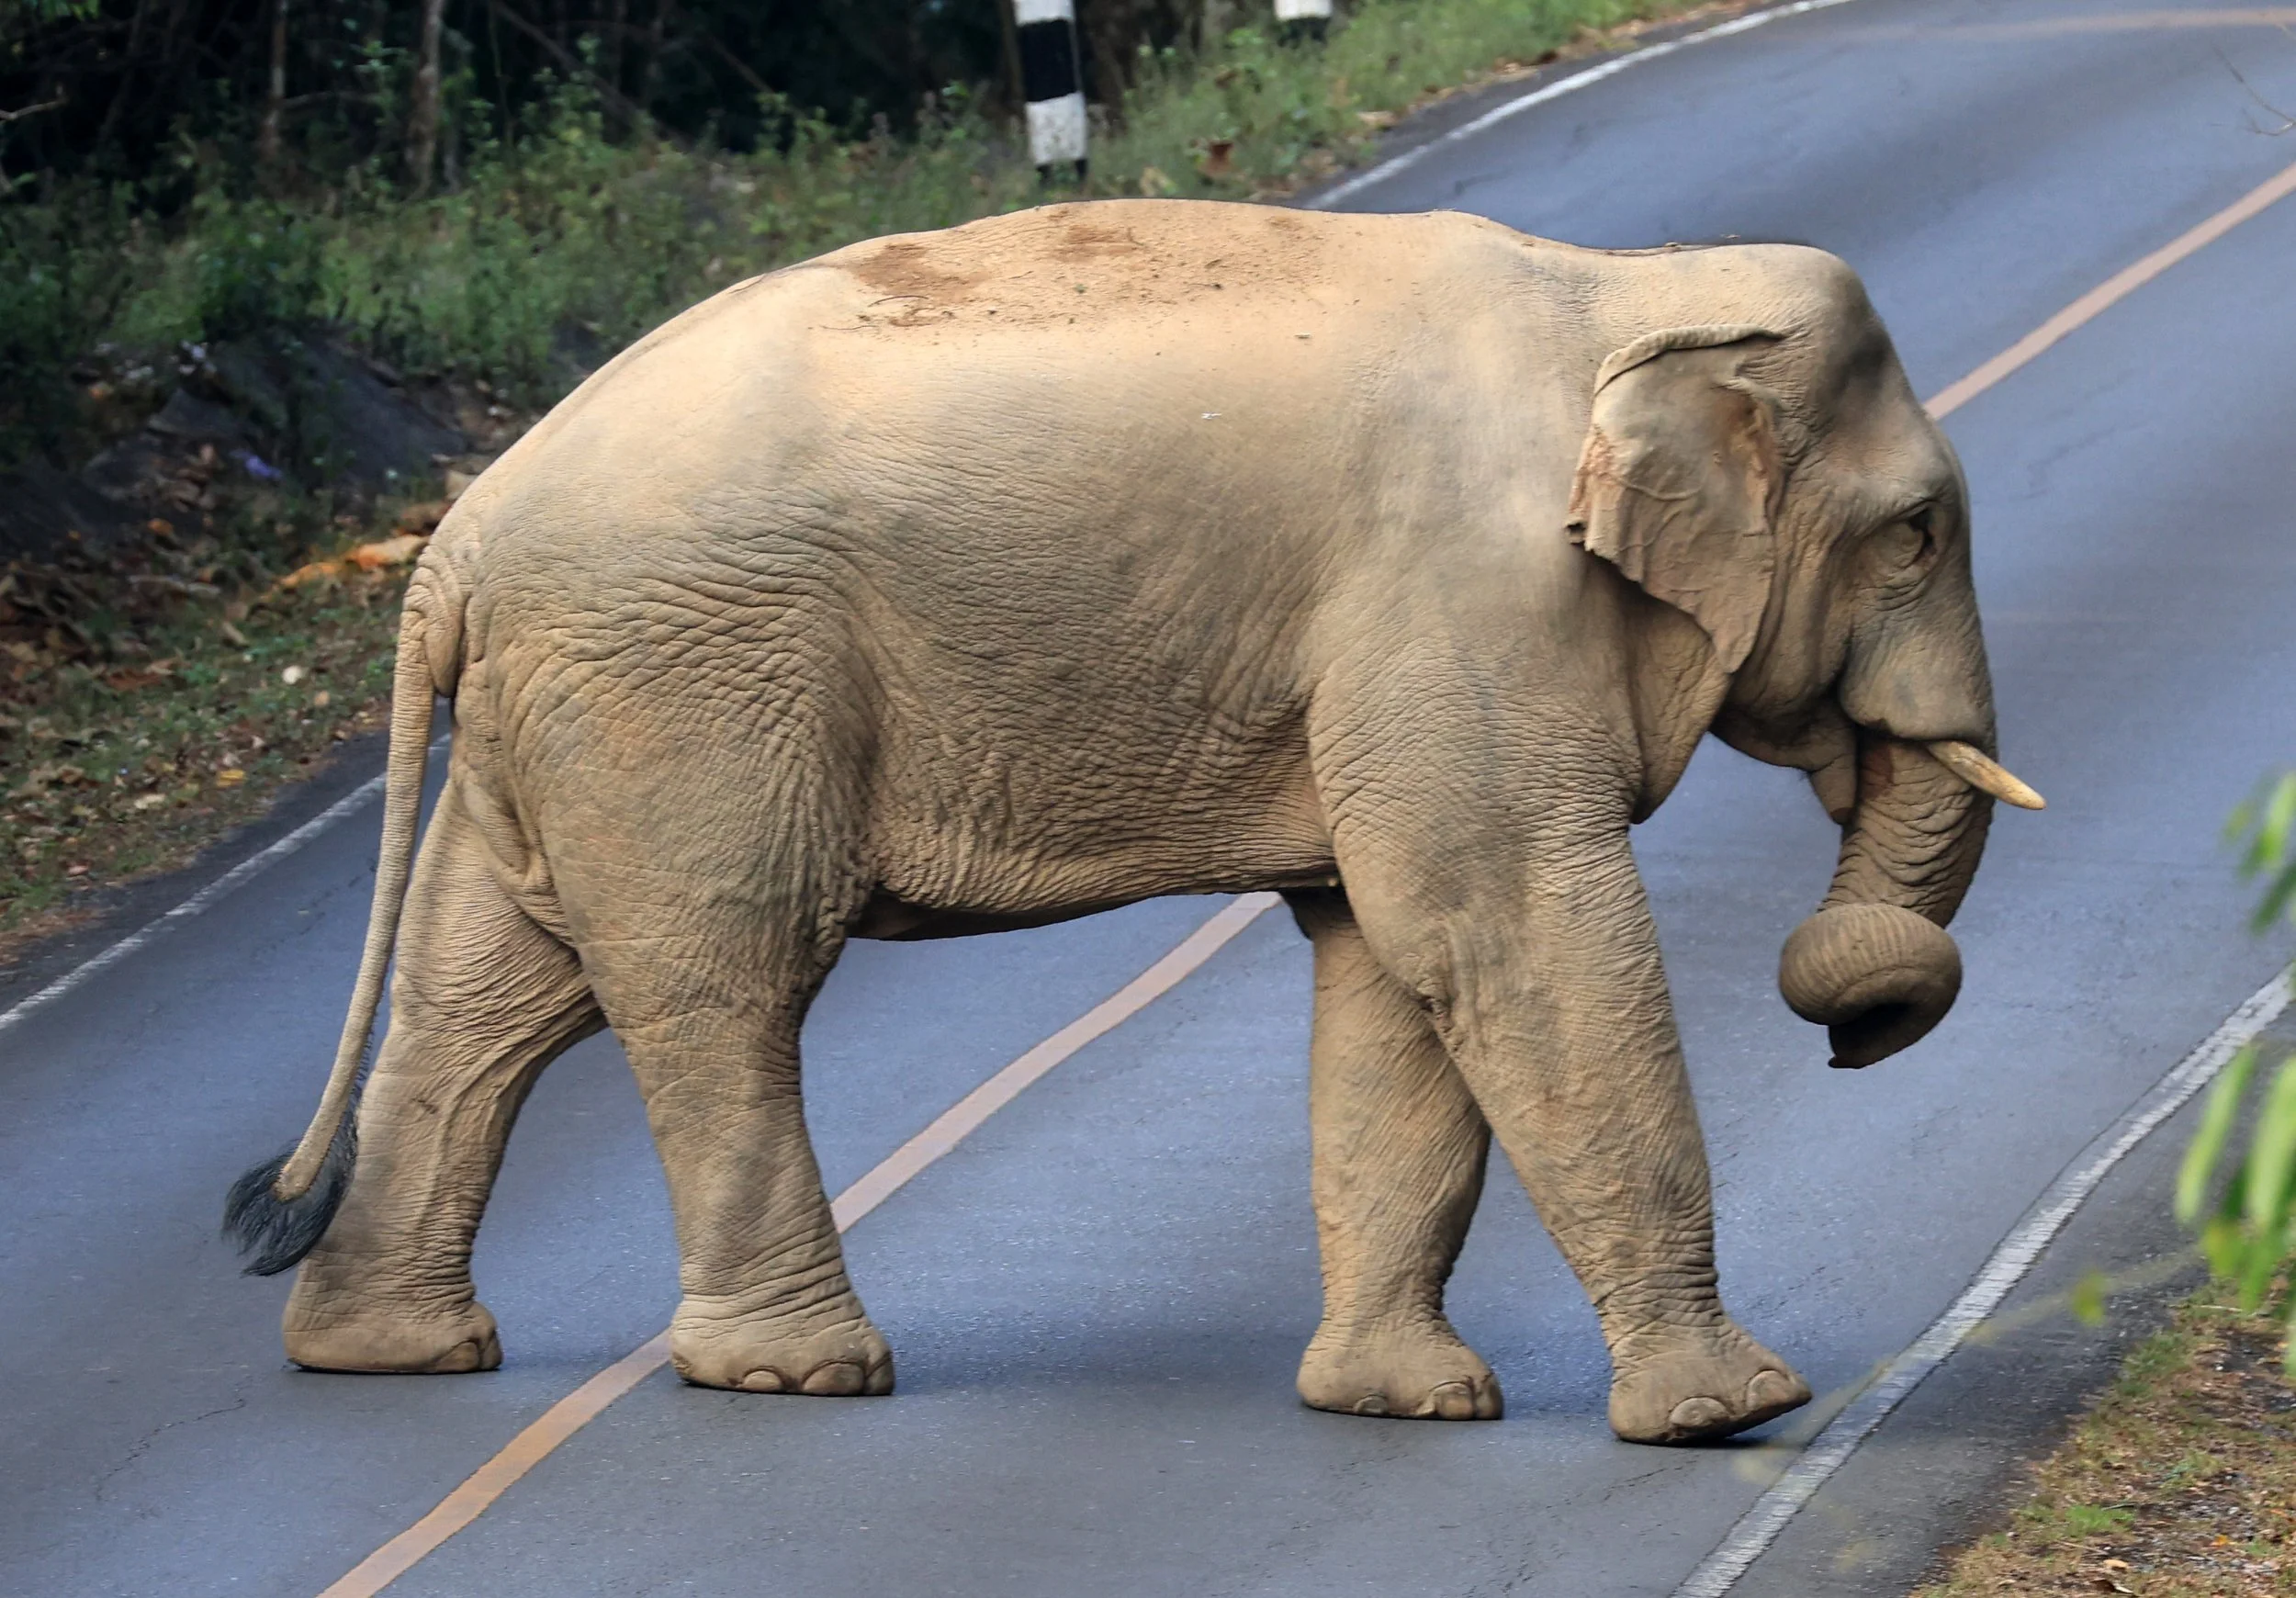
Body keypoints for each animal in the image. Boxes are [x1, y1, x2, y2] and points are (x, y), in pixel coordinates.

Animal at [226, 199, 2041, 1446]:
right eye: (1914, 532)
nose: (1852, 1031)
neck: (1627, 286)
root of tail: (457, 538)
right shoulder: (1456, 605)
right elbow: (1501, 932)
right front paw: (1731, 1414)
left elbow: (1386, 964)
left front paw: (1402, 1402)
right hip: (685, 695)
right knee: (716, 984)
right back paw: (801, 1371)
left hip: (564, 716)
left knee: (491, 994)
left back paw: (386, 1347)